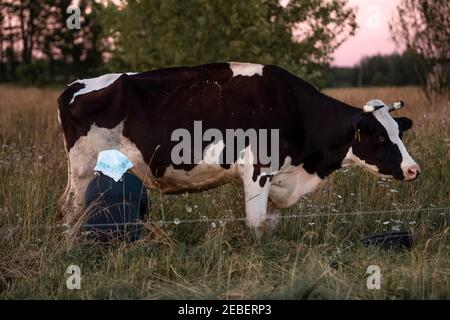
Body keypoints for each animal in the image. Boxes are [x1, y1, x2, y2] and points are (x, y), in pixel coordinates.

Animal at [57, 62, 422, 234]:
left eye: (399, 133)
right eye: (379, 137)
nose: (413, 169)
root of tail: (76, 85)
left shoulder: (279, 180)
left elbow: (269, 226)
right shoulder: (257, 171)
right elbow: (256, 224)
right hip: (84, 169)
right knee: (72, 211)